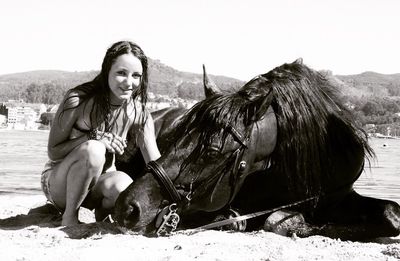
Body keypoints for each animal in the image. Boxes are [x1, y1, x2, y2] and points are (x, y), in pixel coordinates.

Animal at [112, 59, 400, 240]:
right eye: (177, 136)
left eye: (213, 151)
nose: (128, 206)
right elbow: (276, 220)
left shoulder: (340, 196)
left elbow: (391, 215)